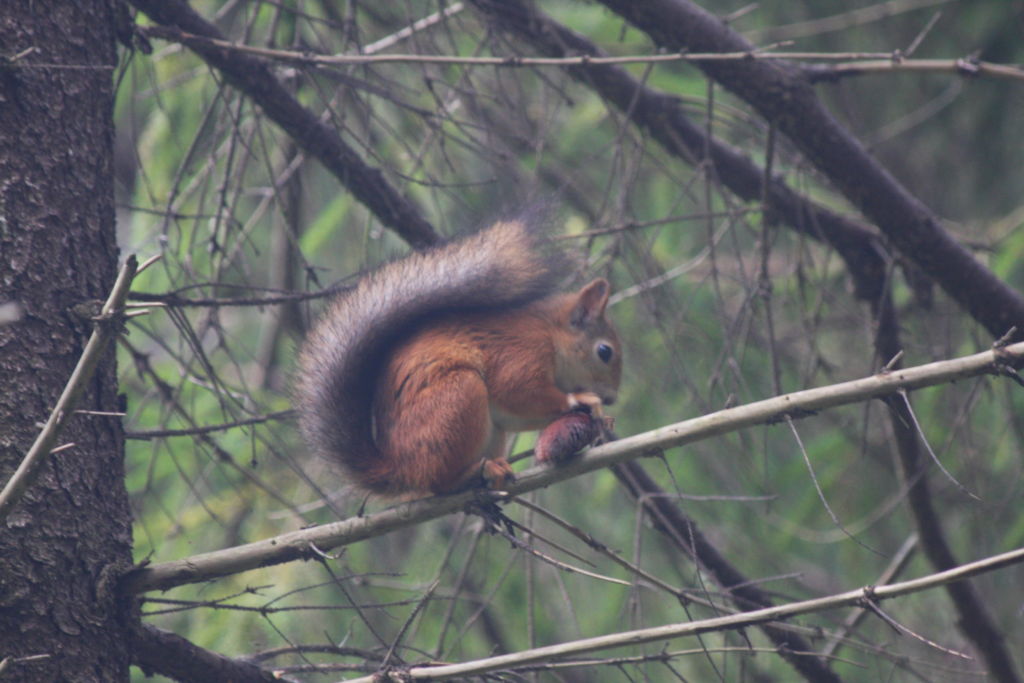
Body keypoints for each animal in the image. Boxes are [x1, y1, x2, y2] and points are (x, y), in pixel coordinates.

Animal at [292, 219, 618, 497]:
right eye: (605, 351)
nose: (613, 398)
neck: (550, 334)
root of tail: (402, 468)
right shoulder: (520, 353)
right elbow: (518, 390)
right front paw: (582, 400)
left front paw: (603, 419)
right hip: (458, 396)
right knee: (439, 482)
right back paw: (477, 473)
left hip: (489, 430)